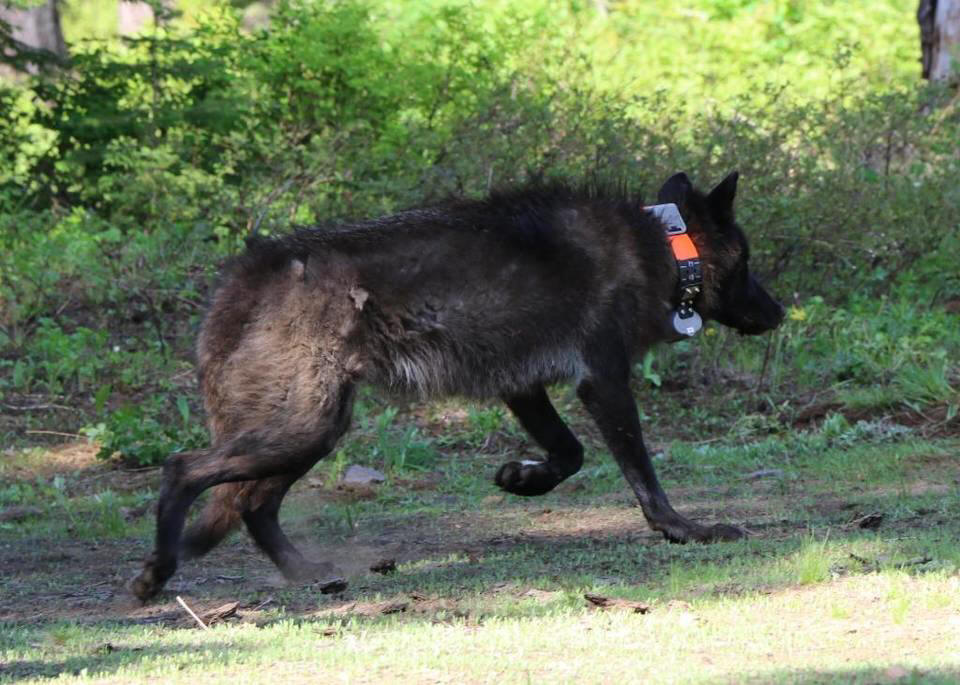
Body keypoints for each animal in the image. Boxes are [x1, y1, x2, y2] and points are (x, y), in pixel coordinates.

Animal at [131, 170, 784, 600]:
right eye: (749, 262)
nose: (779, 313)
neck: (666, 246)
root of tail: (244, 275)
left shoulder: (523, 387)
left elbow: (569, 454)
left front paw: (522, 480)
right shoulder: (602, 383)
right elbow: (643, 477)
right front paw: (684, 530)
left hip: (312, 431)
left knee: (253, 505)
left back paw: (307, 574)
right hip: (304, 430)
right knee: (184, 470)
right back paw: (159, 572)